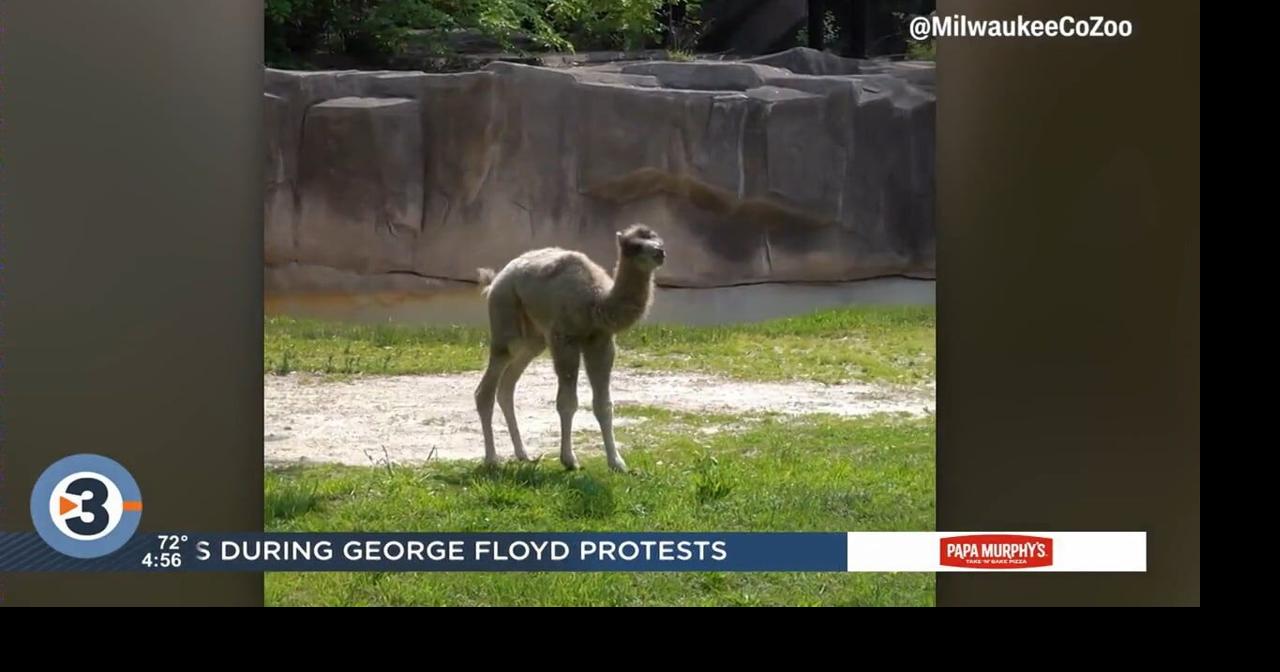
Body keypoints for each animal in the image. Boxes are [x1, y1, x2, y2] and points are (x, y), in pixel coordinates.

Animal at [473, 225, 666, 472]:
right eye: (635, 246)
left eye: (658, 241)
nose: (660, 253)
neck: (596, 303)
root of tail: (495, 281)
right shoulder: (565, 339)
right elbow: (567, 402)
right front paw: (569, 460)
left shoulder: (601, 341)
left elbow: (604, 404)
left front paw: (617, 463)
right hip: (505, 318)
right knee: (487, 387)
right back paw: (491, 459)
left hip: (534, 339)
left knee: (507, 387)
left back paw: (523, 454)